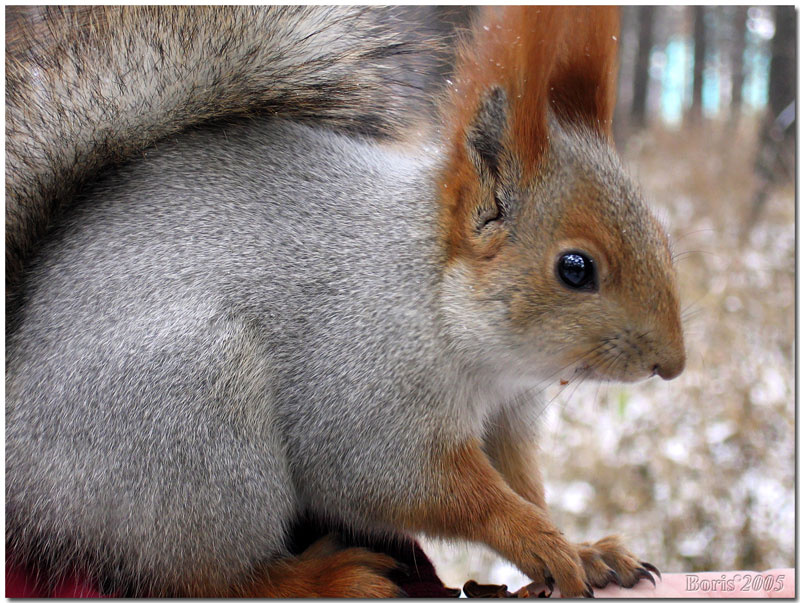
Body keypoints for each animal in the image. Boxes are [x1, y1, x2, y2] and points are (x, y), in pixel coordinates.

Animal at [6, 5, 686, 598]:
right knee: (206, 576)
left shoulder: (506, 416)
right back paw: (320, 579)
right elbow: (408, 484)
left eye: (662, 234)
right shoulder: (363, 398)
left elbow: (520, 479)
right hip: (190, 426)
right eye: (575, 269)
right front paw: (538, 541)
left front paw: (586, 550)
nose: (672, 364)